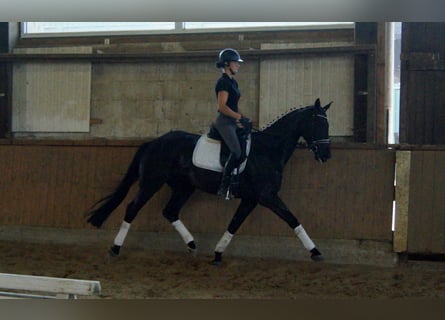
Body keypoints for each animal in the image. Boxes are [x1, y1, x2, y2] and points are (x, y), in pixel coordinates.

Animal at [86, 99, 330, 264]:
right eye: (319, 125)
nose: (326, 156)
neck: (268, 150)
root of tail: (154, 142)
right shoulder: (267, 196)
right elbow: (292, 219)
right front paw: (316, 252)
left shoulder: (251, 199)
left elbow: (234, 224)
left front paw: (218, 253)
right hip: (151, 183)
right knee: (132, 208)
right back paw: (115, 248)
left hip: (184, 187)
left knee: (170, 211)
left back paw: (192, 245)